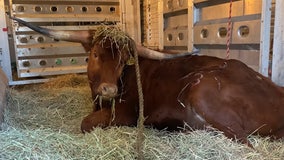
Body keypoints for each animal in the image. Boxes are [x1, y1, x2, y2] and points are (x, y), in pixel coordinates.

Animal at [12, 16, 284, 146]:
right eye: (95, 54)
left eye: (123, 61)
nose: (109, 89)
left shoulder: (125, 114)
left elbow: (85, 123)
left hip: (203, 90)